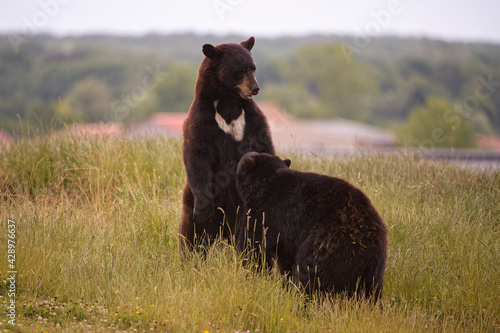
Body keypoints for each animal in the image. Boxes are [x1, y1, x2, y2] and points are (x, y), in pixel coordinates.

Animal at [179, 37, 276, 250]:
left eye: (253, 67)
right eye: (240, 70)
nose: (255, 88)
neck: (227, 101)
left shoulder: (251, 118)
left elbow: (264, 145)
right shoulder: (202, 118)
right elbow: (197, 153)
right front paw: (203, 213)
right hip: (192, 199)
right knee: (192, 232)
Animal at [236, 151, 388, 298]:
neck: (265, 182)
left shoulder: (266, 212)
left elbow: (253, 245)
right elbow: (285, 259)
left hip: (328, 245)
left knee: (312, 275)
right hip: (372, 268)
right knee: (370, 289)